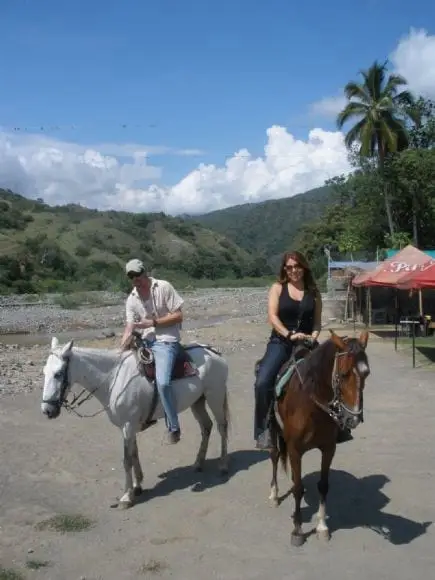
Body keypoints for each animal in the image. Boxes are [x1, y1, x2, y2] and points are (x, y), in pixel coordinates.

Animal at [41, 336, 232, 508]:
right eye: (44, 372)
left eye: (58, 374)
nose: (47, 410)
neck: (113, 379)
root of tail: (214, 352)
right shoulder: (128, 427)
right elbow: (134, 454)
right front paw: (137, 486)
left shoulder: (128, 425)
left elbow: (127, 460)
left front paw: (127, 496)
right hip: (197, 401)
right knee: (206, 427)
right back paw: (198, 463)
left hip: (215, 396)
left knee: (222, 427)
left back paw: (223, 466)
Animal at [270, 328, 370, 548]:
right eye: (344, 374)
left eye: (367, 373)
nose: (353, 419)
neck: (311, 403)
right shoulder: (295, 450)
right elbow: (298, 489)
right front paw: (297, 531)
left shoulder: (328, 448)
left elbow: (323, 486)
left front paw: (322, 527)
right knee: (274, 456)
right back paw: (274, 494)